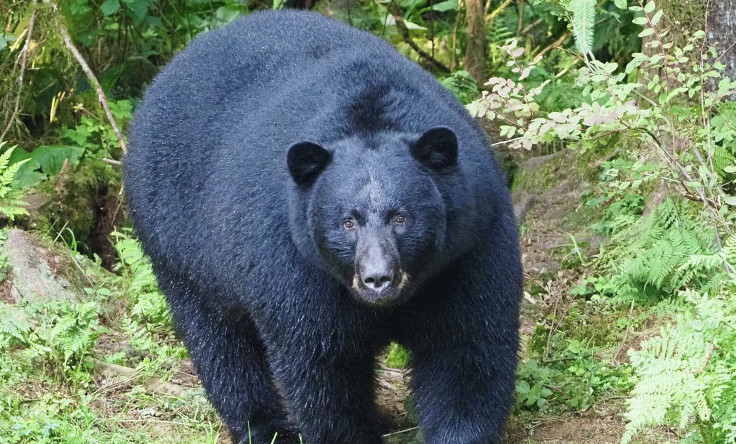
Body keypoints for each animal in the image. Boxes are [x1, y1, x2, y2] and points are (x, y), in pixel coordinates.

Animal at [124, 10, 522, 444]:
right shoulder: (294, 265)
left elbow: (466, 350)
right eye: (347, 222)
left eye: (401, 217)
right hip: (179, 245)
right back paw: (263, 426)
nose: (377, 278)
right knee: (220, 345)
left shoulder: (469, 248)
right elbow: (322, 366)